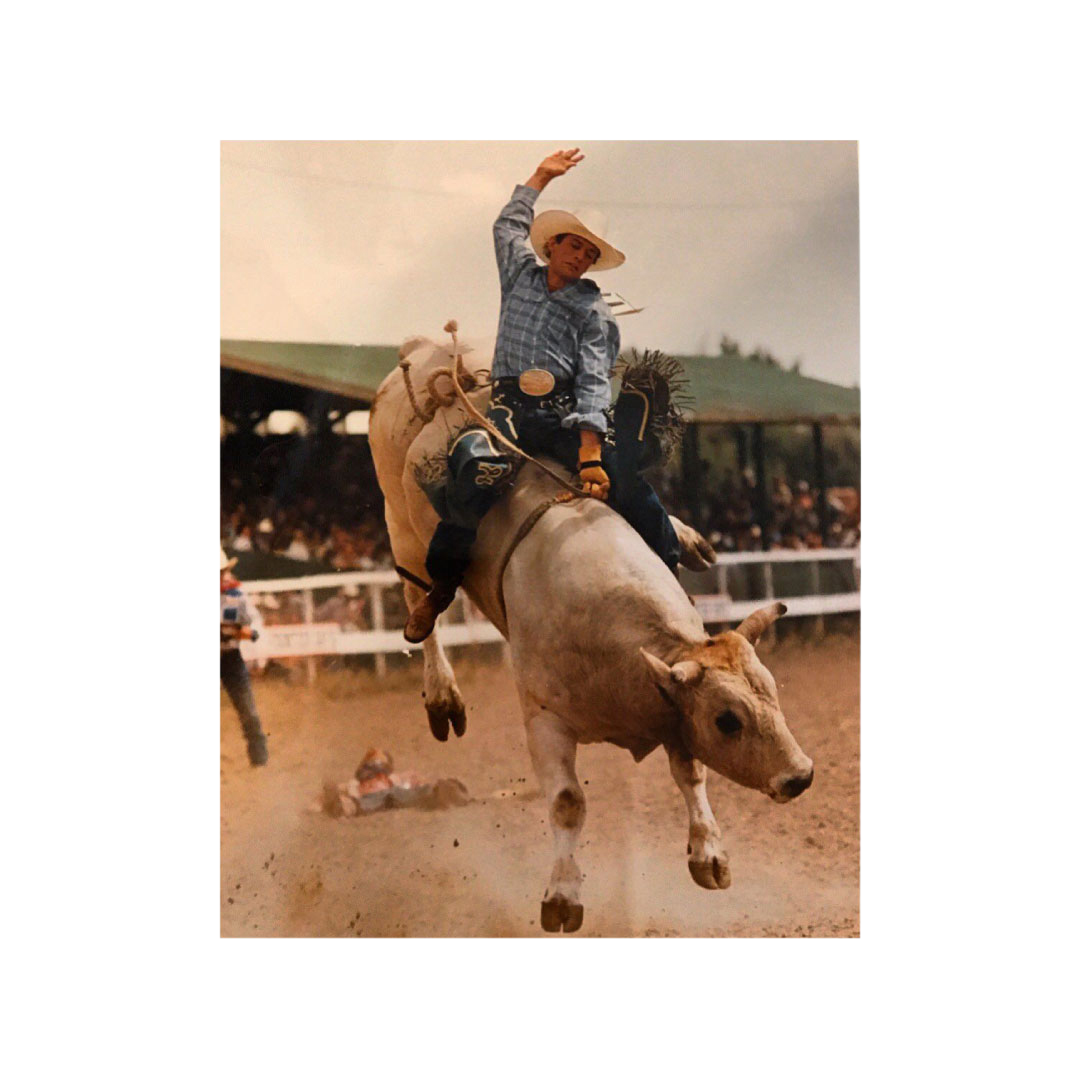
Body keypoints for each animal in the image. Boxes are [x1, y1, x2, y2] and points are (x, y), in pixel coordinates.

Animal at [371, 332, 812, 933]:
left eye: (773, 691)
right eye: (728, 720)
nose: (800, 776)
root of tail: (430, 348)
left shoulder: (671, 705)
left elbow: (690, 775)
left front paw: (710, 855)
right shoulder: (544, 719)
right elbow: (567, 804)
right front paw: (562, 896)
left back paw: (689, 537)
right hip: (401, 525)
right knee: (421, 603)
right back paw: (441, 693)